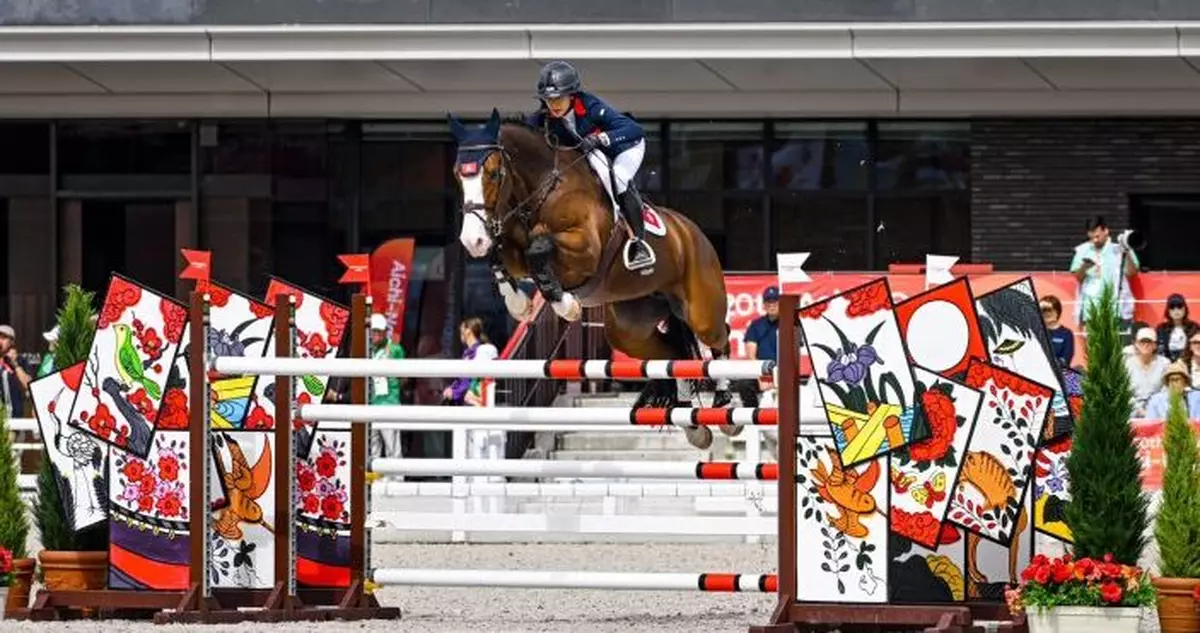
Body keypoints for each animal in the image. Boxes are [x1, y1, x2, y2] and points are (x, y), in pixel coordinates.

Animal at [447, 108, 748, 450]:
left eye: (494, 174)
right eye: (458, 174)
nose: (472, 240)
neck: (542, 190)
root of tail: (692, 232)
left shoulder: (585, 250)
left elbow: (540, 247)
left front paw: (566, 305)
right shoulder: (513, 248)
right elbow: (502, 255)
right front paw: (519, 303)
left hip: (700, 308)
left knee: (718, 336)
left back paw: (725, 406)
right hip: (631, 325)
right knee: (674, 353)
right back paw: (692, 423)